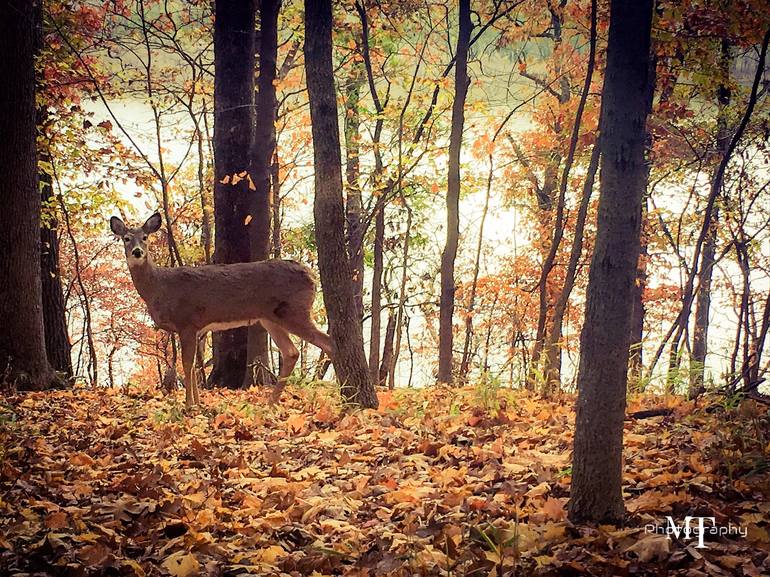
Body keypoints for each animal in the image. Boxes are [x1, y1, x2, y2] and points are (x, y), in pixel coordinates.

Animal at [109, 212, 332, 404]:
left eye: (145, 237)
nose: (137, 252)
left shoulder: (187, 321)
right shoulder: (195, 329)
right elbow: (194, 365)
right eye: (126, 238)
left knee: (327, 342)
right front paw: (198, 403)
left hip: (295, 311)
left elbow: (187, 364)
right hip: (270, 318)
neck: (159, 287)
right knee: (292, 352)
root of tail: (312, 276)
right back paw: (271, 403)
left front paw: (188, 405)